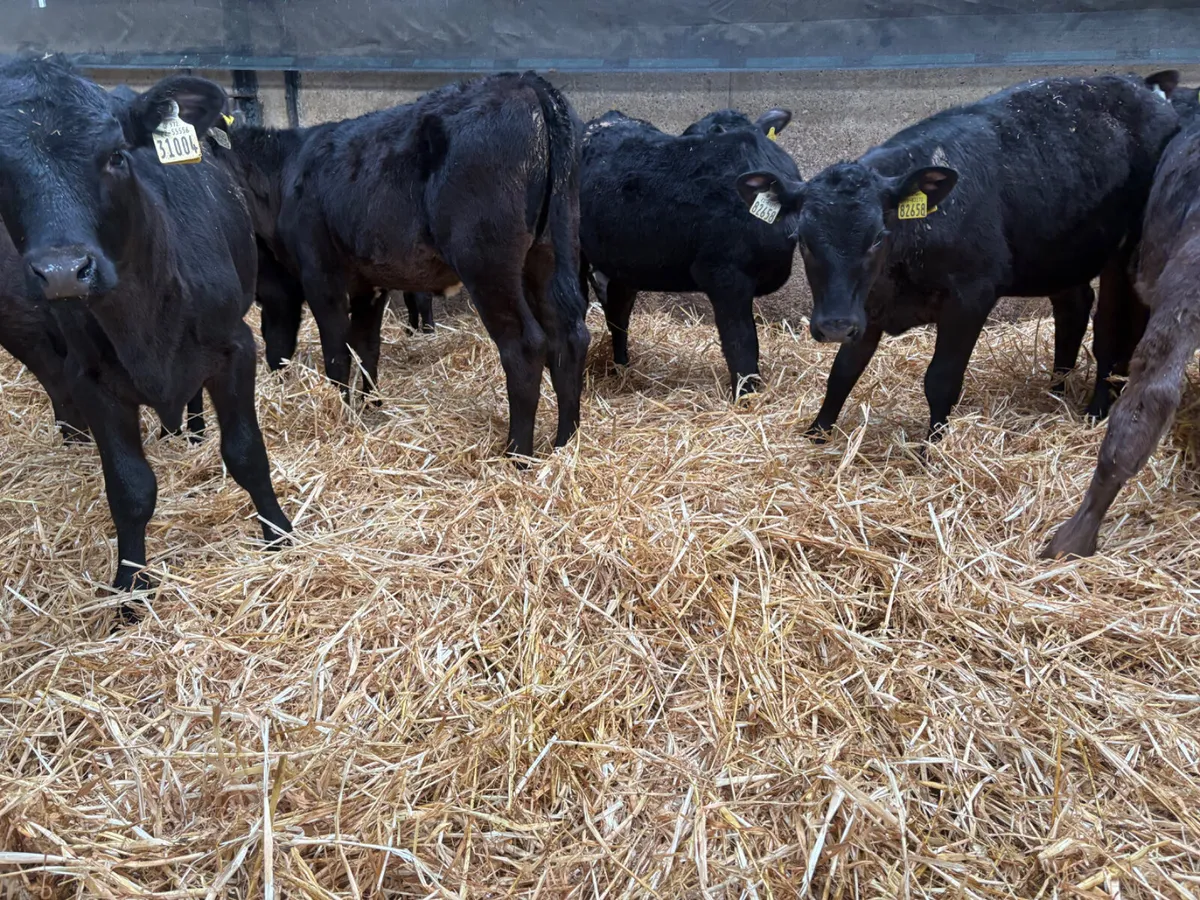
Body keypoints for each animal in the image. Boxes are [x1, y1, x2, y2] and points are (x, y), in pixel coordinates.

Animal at [0, 57, 292, 598]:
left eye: (116, 155)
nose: (62, 271)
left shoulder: (236, 347)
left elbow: (246, 453)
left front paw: (279, 534)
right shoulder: (90, 381)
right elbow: (130, 489)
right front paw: (130, 586)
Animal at [210, 72, 589, 459]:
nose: (276, 369)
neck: (284, 176)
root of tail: (526, 82)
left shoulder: (320, 277)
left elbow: (337, 354)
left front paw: (344, 410)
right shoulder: (368, 284)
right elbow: (365, 346)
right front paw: (370, 405)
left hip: (487, 264)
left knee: (525, 346)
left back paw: (517, 455)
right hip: (549, 252)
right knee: (568, 335)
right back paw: (565, 444)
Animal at [579, 107, 799, 397]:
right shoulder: (723, 275)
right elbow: (740, 341)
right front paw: (745, 396)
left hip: (620, 265)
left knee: (618, 312)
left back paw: (622, 369)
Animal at [735, 73, 1183, 440]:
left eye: (878, 237)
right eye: (803, 240)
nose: (834, 326)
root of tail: (1143, 87)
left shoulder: (971, 297)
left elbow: (941, 380)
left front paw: (931, 450)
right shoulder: (869, 306)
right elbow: (842, 373)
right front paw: (816, 434)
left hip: (1125, 253)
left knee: (1111, 329)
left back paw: (1096, 410)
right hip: (1060, 252)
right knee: (1073, 308)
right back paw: (1055, 389)